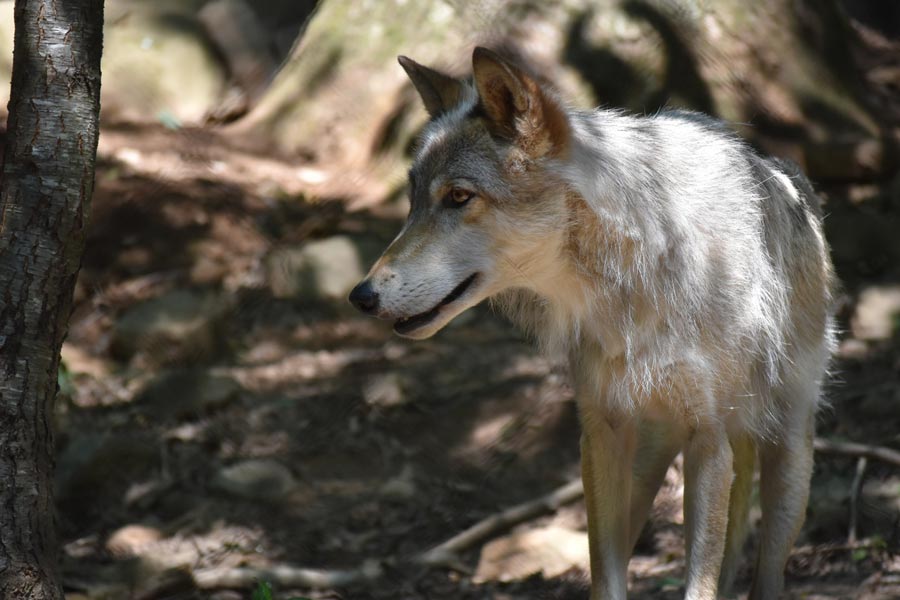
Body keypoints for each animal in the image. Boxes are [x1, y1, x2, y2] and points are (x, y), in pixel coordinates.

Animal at [350, 48, 836, 600]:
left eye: (457, 197)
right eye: (413, 201)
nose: (361, 296)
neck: (632, 283)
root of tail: (783, 172)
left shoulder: (710, 441)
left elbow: (701, 584)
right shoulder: (600, 432)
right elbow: (605, 577)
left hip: (787, 458)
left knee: (768, 572)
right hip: (645, 461)